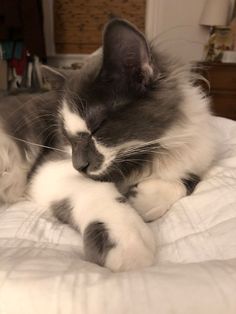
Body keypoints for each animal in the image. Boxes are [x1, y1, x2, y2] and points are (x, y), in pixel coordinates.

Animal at [0, 18, 216, 272]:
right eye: (67, 137)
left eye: (97, 128)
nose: (78, 166)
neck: (153, 153)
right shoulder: (48, 167)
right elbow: (95, 191)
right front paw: (127, 239)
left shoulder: (198, 156)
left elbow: (188, 180)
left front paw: (142, 201)